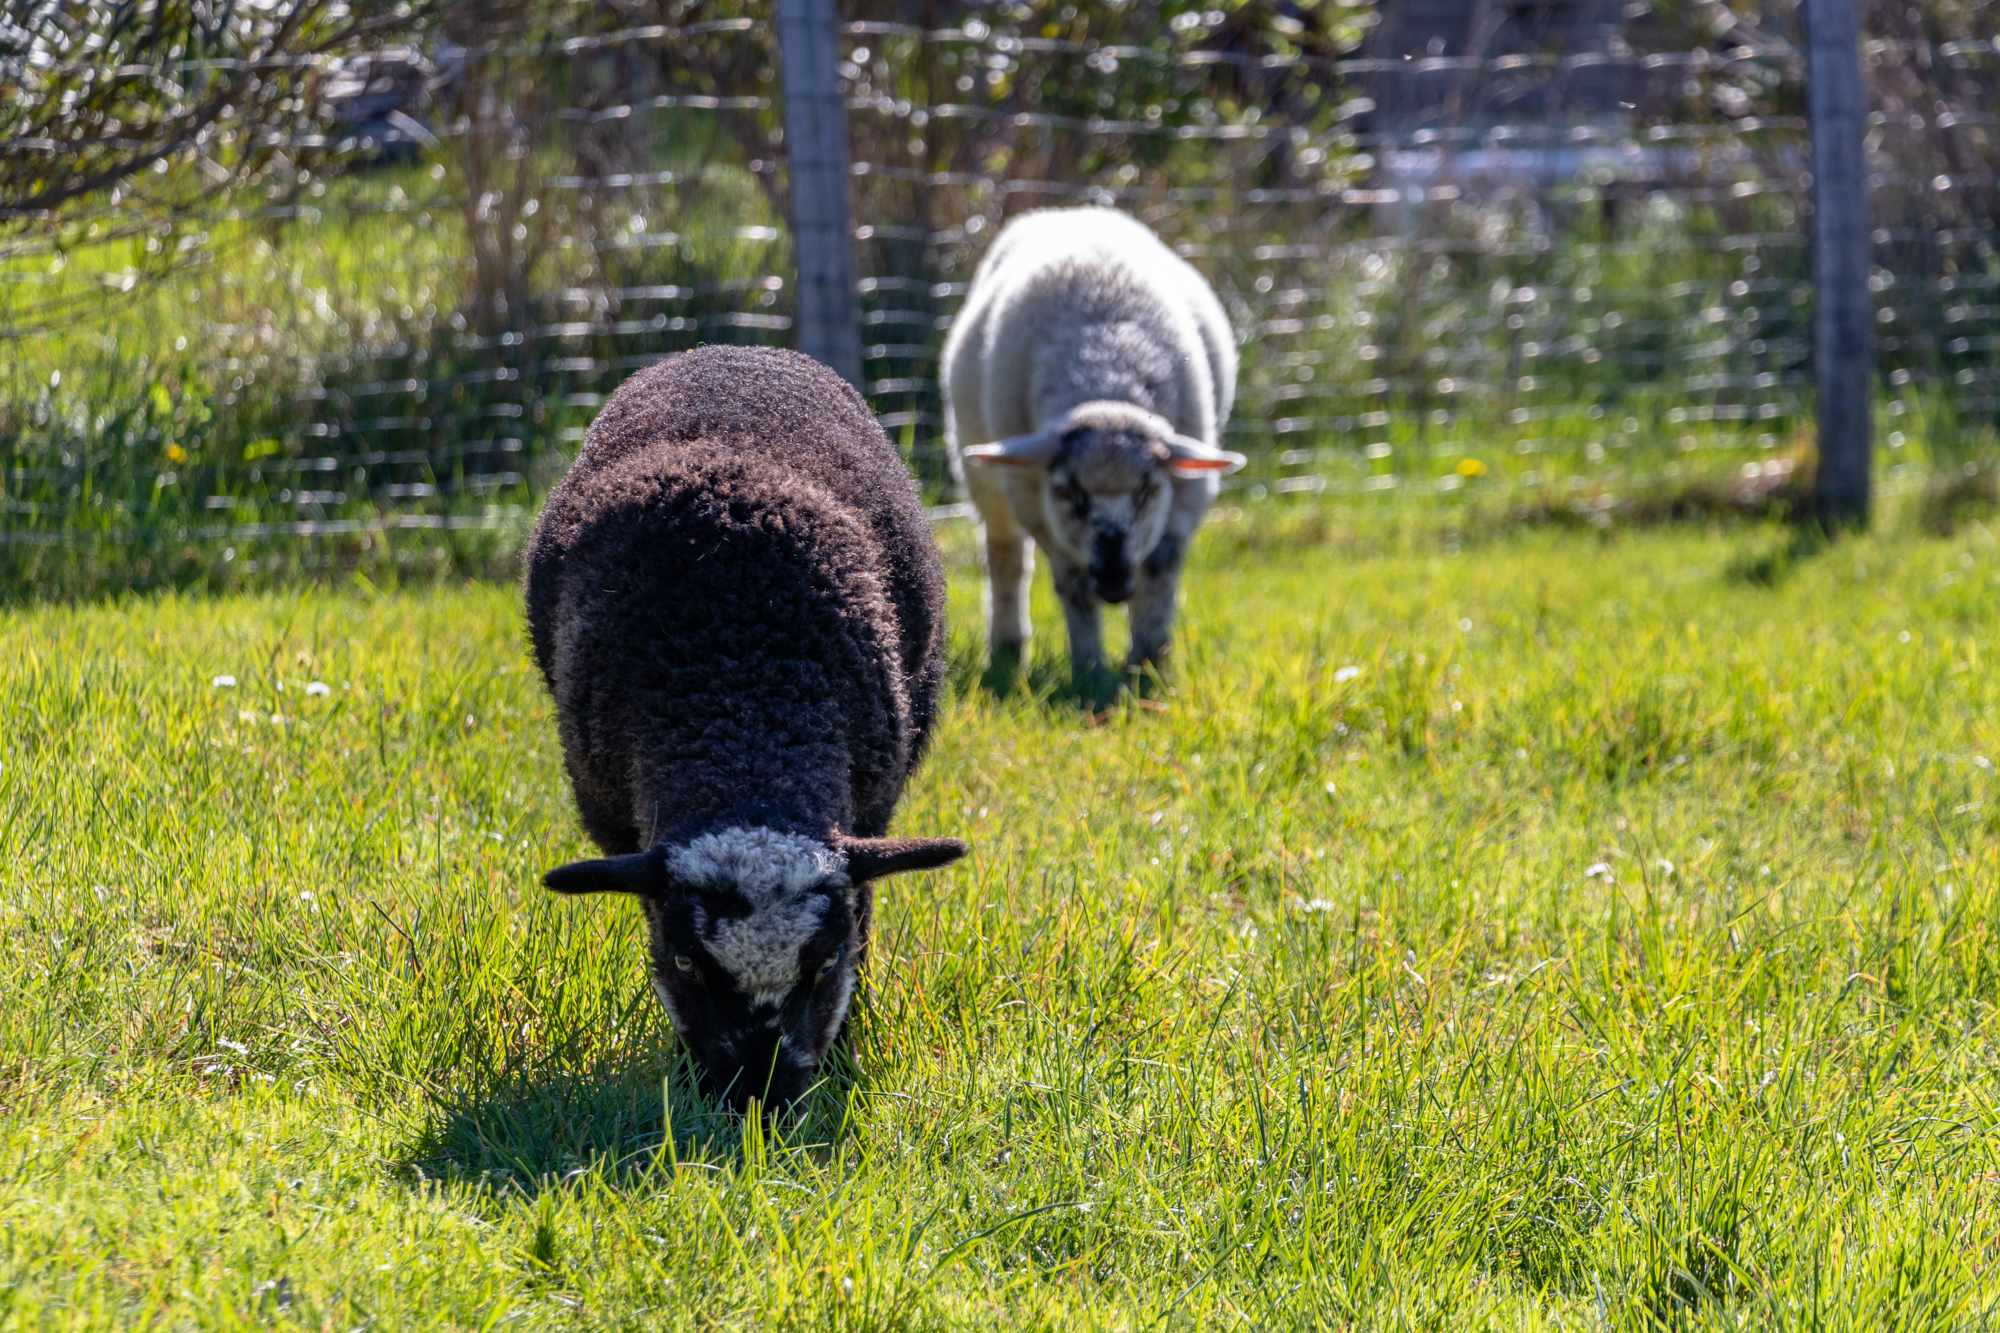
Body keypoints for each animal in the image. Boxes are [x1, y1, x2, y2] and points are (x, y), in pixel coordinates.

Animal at [525, 344, 967, 1113]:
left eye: (828, 960)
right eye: (683, 961)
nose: (758, 1097)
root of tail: (733, 349)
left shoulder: (870, 810)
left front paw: (844, 1052)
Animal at [942, 206, 1245, 689]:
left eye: (1148, 490)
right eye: (1067, 491)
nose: (1114, 586)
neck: (1106, 363)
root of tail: (1069, 210)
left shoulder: (1184, 500)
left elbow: (1159, 569)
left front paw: (1148, 665)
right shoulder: (1042, 509)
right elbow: (1072, 585)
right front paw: (1089, 671)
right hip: (985, 478)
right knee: (1006, 558)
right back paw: (1008, 648)